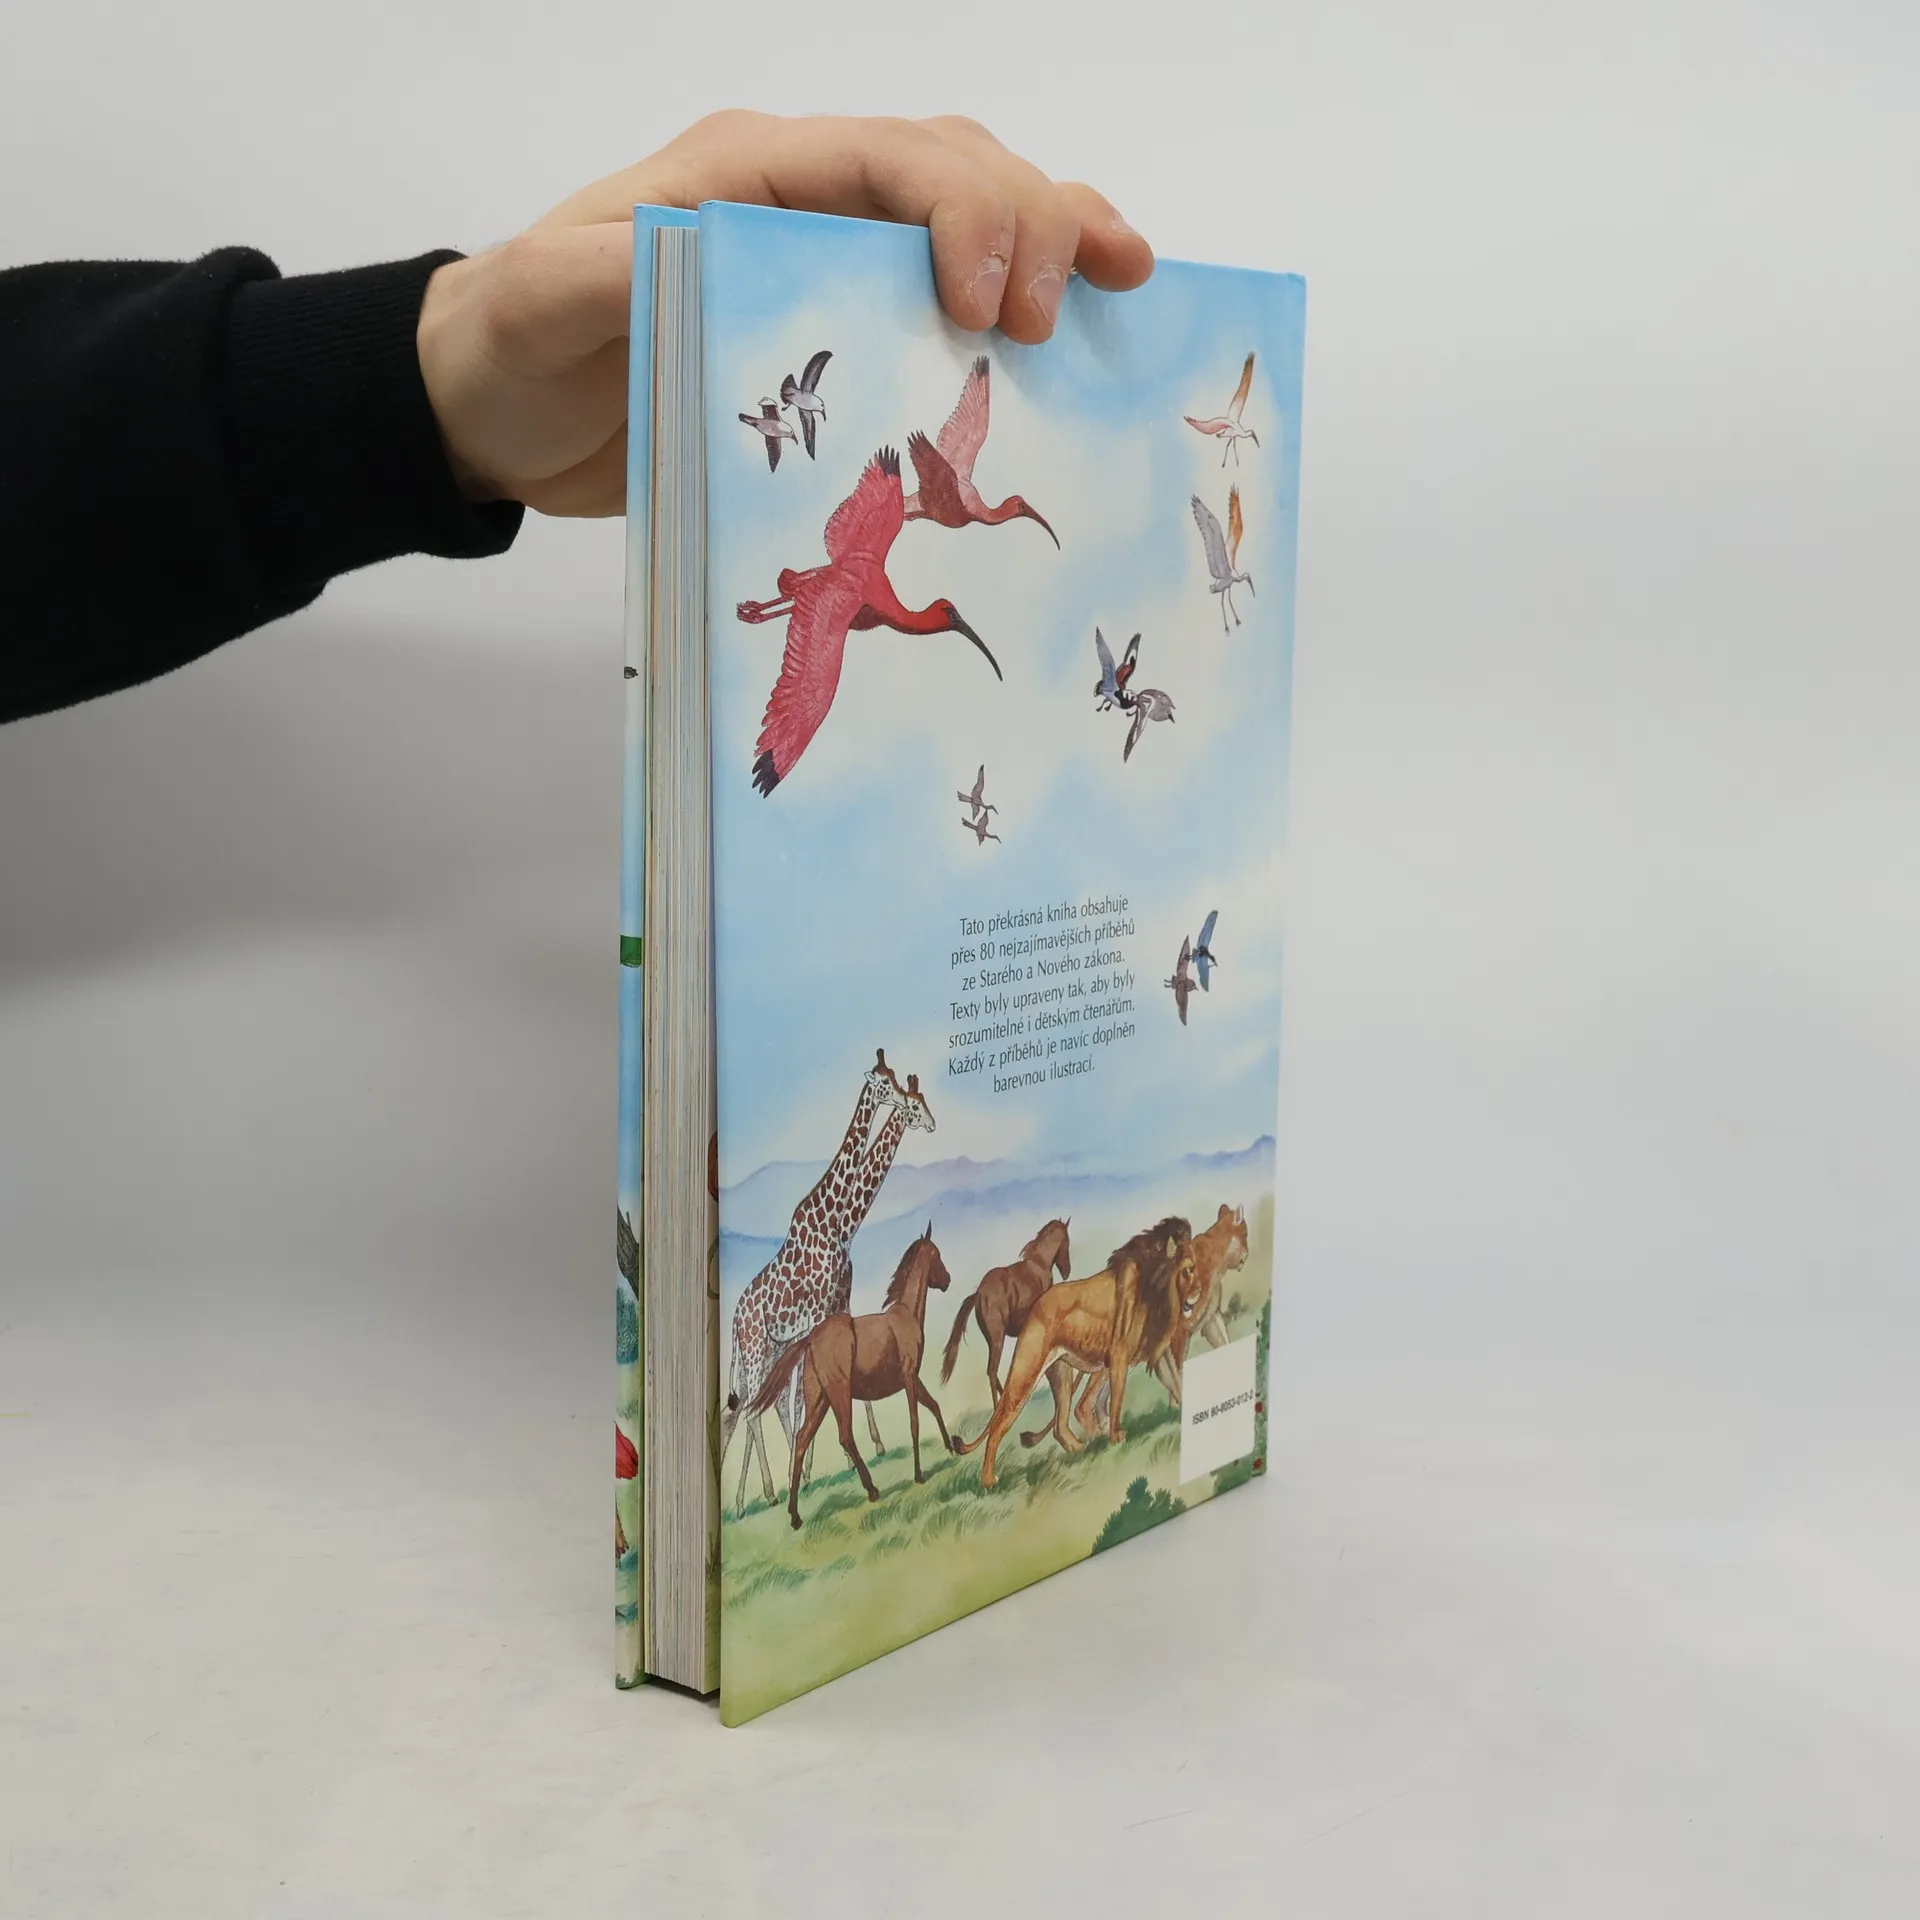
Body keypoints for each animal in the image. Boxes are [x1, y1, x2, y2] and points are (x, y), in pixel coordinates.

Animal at [748, 1224, 957, 1529]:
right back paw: (871, 1490)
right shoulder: (909, 1379)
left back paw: (795, 1516)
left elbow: (934, 1406)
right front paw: (919, 1475)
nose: (947, 1280)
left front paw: (951, 1447)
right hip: (839, 1395)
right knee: (844, 1436)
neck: (905, 1315)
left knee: (801, 1440)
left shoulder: (913, 1379)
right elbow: (915, 1422)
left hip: (820, 1400)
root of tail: (811, 1338)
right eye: (937, 1254)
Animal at [939, 1218, 1071, 1402]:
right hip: (998, 1339)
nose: (1067, 1271)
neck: (1038, 1264)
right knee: (992, 1372)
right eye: (1067, 1242)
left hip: (991, 1340)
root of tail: (979, 1294)